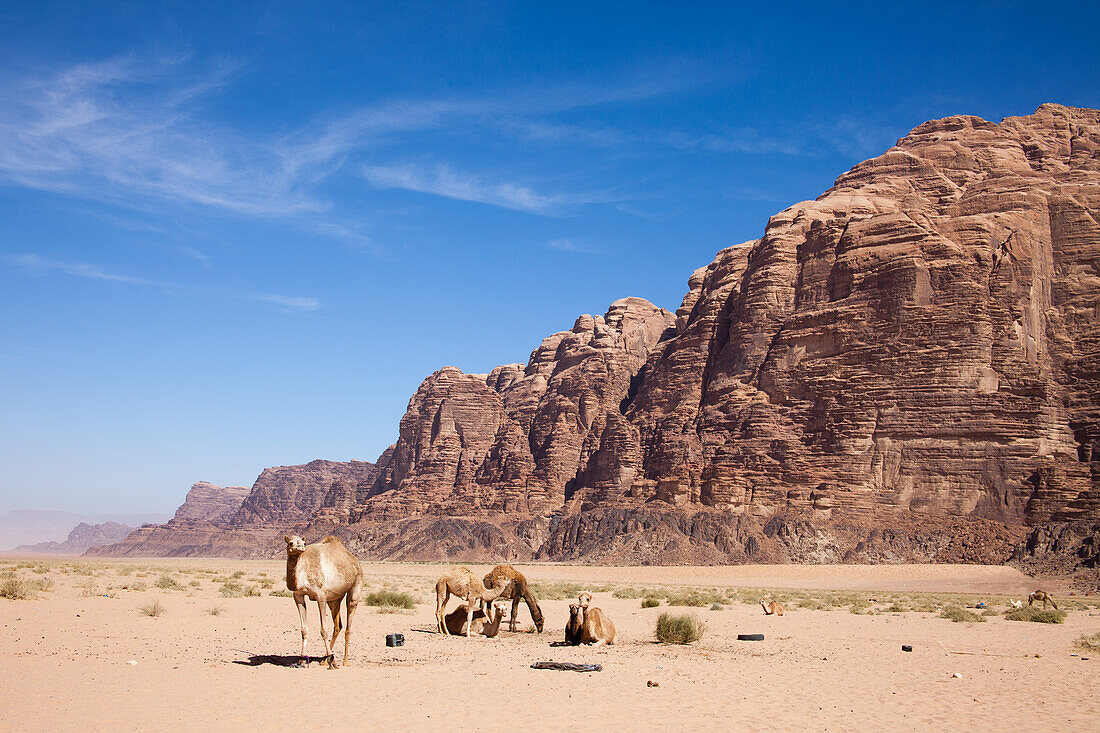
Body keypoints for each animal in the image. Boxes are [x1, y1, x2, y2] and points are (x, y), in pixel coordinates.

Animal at [281, 530, 363, 669]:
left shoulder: (321, 596)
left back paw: (344, 661)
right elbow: (304, 630)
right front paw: (301, 660)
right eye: (291, 543)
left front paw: (333, 662)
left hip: (355, 587)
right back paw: (324, 659)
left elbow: (323, 630)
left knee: (348, 626)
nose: (301, 547)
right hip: (334, 599)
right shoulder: (298, 596)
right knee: (338, 626)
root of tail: (355, 562)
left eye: (304, 543)